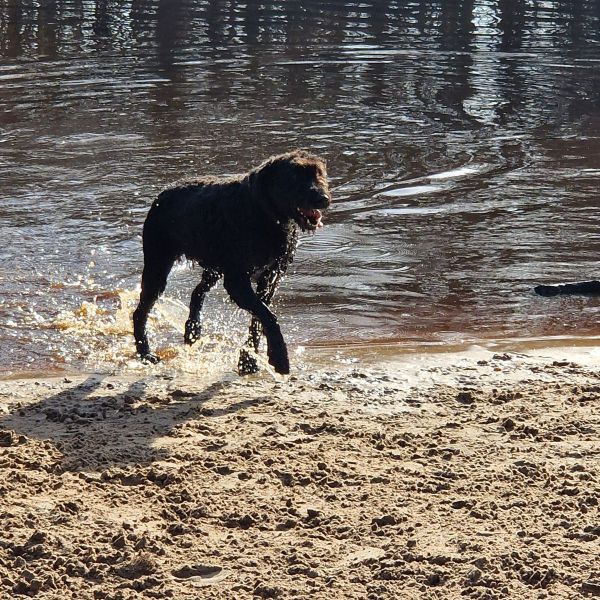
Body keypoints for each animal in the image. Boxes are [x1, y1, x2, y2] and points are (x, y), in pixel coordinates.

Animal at [132, 149, 332, 376]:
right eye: (295, 176)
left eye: (319, 173)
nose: (323, 198)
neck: (265, 215)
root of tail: (163, 193)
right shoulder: (237, 280)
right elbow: (267, 316)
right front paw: (279, 357)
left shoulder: (271, 277)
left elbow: (258, 320)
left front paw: (248, 361)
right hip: (158, 264)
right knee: (140, 312)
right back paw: (146, 353)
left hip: (214, 267)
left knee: (197, 291)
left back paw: (193, 329)